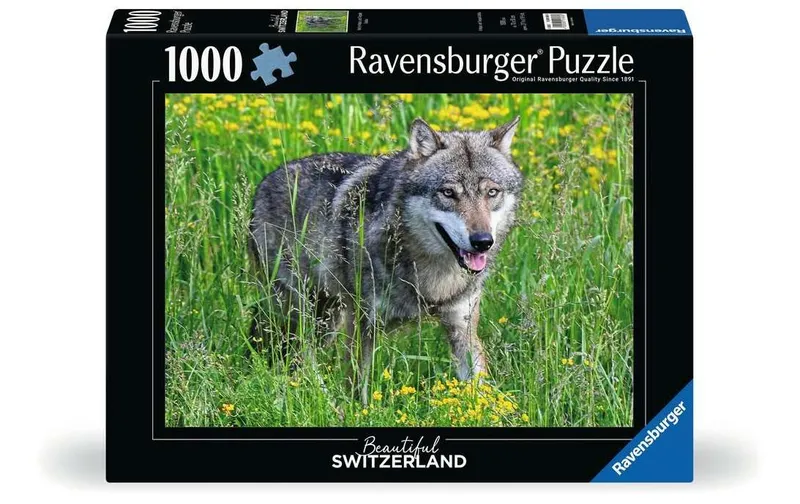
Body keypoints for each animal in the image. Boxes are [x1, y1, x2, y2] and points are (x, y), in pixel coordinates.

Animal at [249, 117, 523, 402]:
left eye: (492, 192)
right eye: (448, 193)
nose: (482, 241)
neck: (433, 276)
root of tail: (264, 183)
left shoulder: (462, 327)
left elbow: (480, 390)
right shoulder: (362, 324)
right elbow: (356, 386)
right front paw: (356, 410)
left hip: (326, 319)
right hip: (302, 313)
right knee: (294, 353)